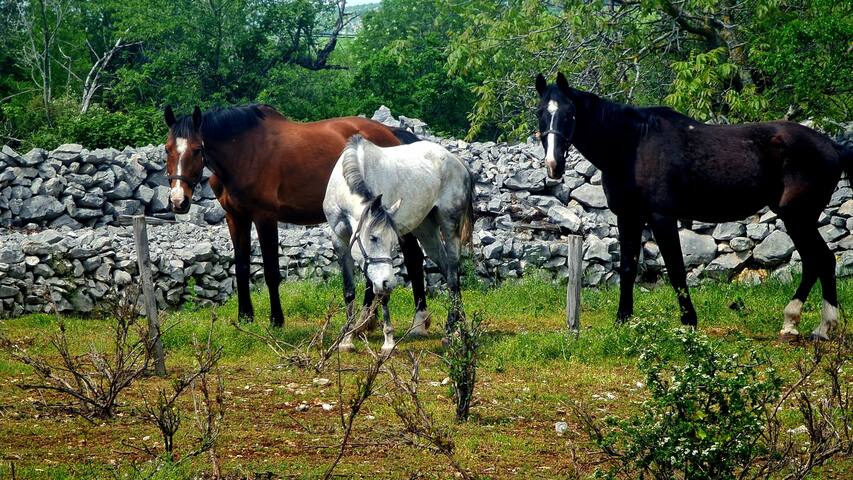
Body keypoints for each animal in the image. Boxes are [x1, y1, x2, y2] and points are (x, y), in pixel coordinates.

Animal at [161, 105, 426, 328]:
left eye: (197, 150)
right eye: (167, 149)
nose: (178, 201)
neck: (243, 152)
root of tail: (392, 133)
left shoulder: (265, 217)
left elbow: (271, 272)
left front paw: (276, 320)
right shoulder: (235, 218)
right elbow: (241, 267)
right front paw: (245, 317)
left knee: (413, 257)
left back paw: (416, 320)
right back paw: (368, 321)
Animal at [322, 135, 476, 352]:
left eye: (394, 244)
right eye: (373, 238)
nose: (390, 282)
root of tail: (458, 162)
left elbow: (380, 293)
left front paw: (388, 342)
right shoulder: (340, 242)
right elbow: (349, 291)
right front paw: (347, 339)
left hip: (449, 223)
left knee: (453, 274)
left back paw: (450, 332)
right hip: (426, 229)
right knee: (446, 267)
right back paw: (458, 327)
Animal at [532, 71, 852, 342]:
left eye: (569, 113)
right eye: (539, 113)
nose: (553, 165)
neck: (632, 145)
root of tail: (833, 147)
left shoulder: (661, 217)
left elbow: (676, 269)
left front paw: (689, 322)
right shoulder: (628, 217)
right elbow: (627, 267)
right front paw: (623, 320)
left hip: (798, 216)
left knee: (822, 260)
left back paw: (821, 327)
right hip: (799, 218)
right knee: (815, 261)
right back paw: (796, 325)